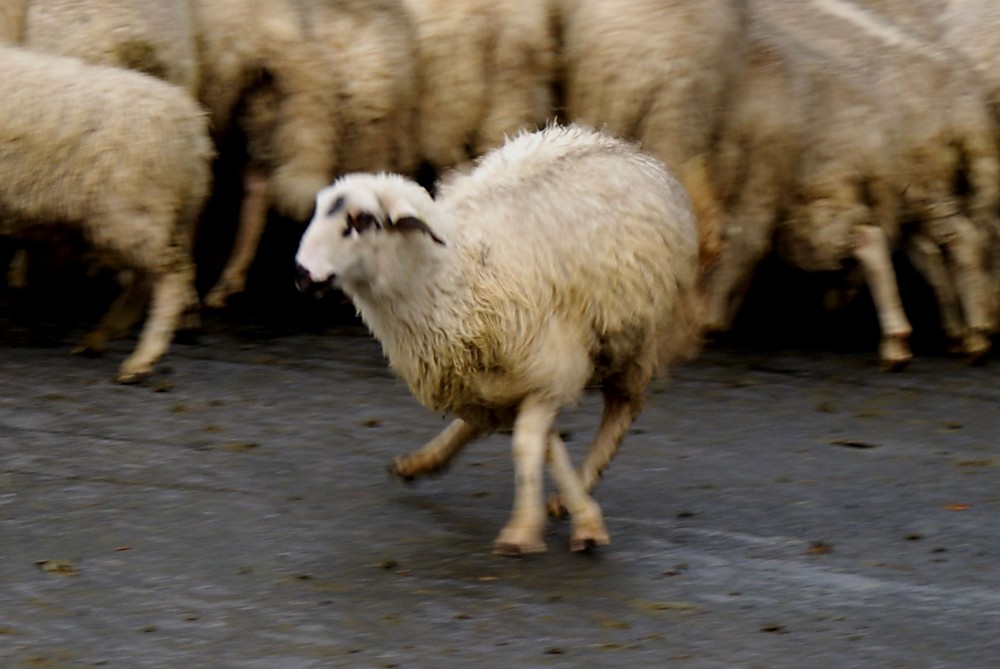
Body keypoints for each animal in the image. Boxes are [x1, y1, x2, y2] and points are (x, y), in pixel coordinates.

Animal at [0, 45, 213, 380]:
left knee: (173, 274)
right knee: (148, 279)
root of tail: (193, 131)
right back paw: (102, 337)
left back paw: (141, 360)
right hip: (147, 218)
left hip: (131, 214)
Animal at [292, 124, 708, 552]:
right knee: (484, 422)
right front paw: (571, 515)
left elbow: (531, 444)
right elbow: (545, 444)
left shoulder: (550, 370)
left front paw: (533, 529)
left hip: (634, 339)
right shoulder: (518, 379)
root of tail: (627, 148)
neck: (452, 276)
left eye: (362, 221)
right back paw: (423, 462)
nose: (302, 273)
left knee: (622, 409)